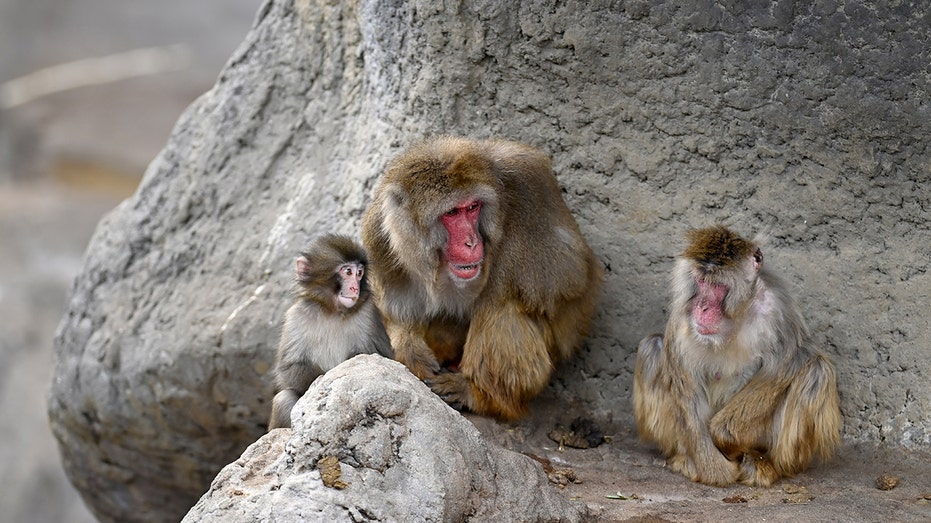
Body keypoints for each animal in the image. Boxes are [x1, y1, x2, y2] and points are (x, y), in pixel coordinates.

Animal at [268, 233, 393, 430]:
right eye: (347, 272)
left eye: (359, 273)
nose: (355, 288)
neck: (333, 312)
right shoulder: (296, 316)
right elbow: (289, 368)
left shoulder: (369, 313)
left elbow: (383, 359)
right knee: (284, 398)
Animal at [361, 136, 603, 421]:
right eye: (452, 213)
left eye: (472, 208)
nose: (471, 242)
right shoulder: (380, 233)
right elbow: (394, 310)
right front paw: (410, 350)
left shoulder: (530, 184)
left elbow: (568, 273)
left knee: (500, 306)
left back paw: (479, 394)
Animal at [633, 225, 842, 487]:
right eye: (700, 281)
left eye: (717, 285)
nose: (701, 307)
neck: (736, 315)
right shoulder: (682, 318)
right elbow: (686, 387)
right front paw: (716, 471)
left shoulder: (778, 307)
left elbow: (786, 364)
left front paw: (725, 438)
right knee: (653, 347)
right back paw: (685, 459)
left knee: (816, 370)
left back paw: (767, 464)